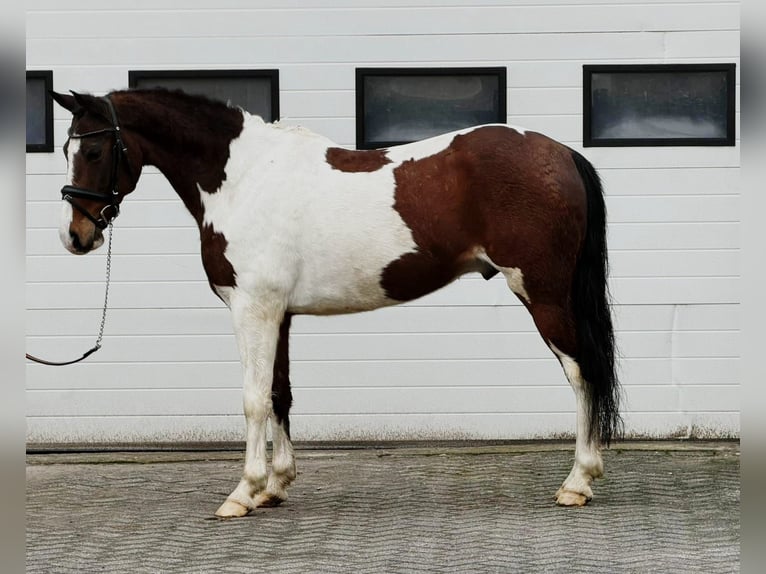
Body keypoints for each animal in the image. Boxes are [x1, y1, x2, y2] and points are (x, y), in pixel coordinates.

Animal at [50, 88, 621, 517]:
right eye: (65, 150)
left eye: (95, 152)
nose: (76, 236)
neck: (243, 179)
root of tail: (561, 153)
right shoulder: (278, 314)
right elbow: (279, 393)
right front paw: (276, 485)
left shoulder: (252, 309)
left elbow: (252, 398)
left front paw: (243, 492)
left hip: (542, 294)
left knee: (582, 372)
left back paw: (577, 482)